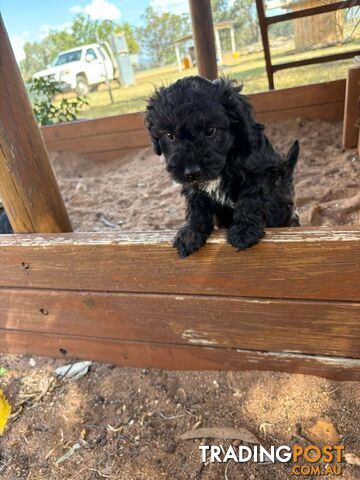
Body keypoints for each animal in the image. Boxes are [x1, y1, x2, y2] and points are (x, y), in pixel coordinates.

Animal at [145, 78, 300, 258]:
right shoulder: (193, 186)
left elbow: (250, 199)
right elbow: (197, 205)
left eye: (210, 131)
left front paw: (243, 231)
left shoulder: (261, 173)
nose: (191, 171)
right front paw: (191, 232)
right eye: (170, 136)